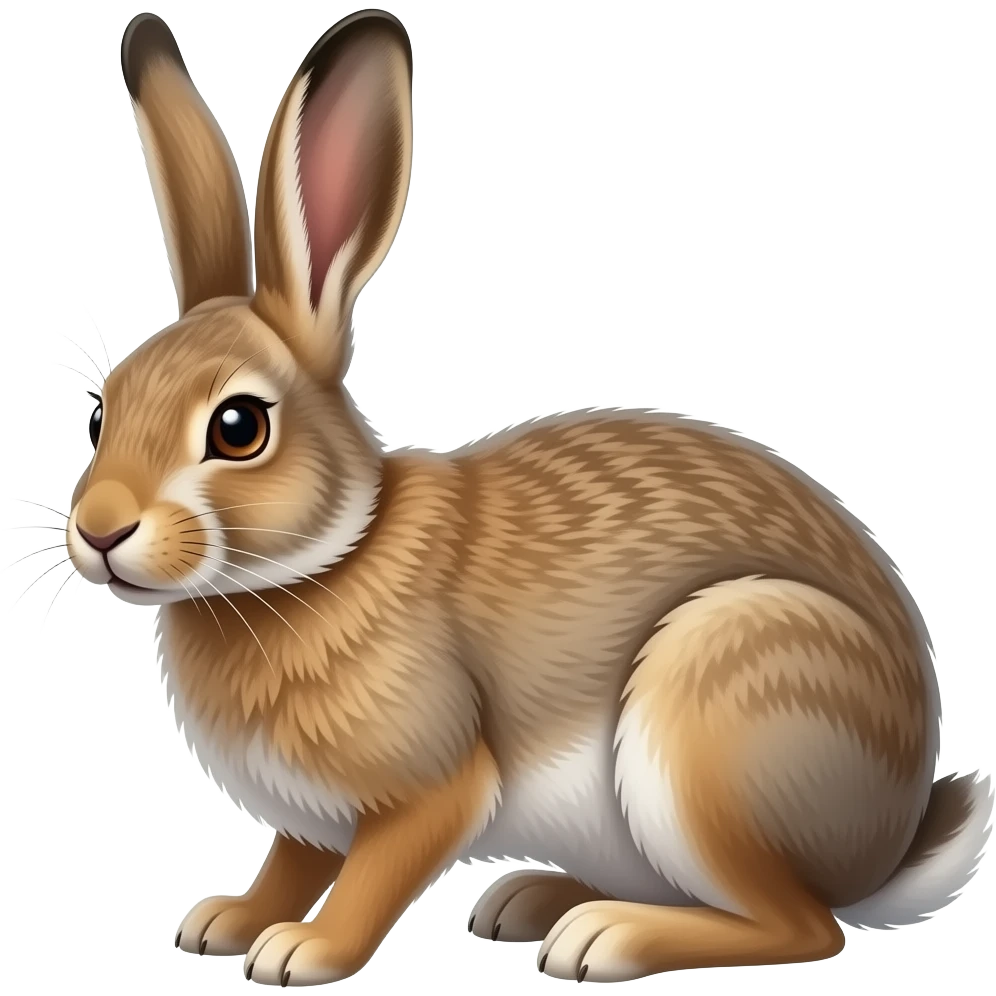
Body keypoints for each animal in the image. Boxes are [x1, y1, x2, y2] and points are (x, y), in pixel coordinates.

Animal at [61, 8, 992, 986]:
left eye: (239, 427)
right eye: (102, 412)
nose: (100, 531)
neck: (326, 558)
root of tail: (890, 844)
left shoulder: (431, 783)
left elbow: (372, 875)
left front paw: (304, 952)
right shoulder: (309, 817)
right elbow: (293, 862)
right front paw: (227, 922)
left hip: (717, 708)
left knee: (805, 927)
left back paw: (604, 938)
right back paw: (534, 902)